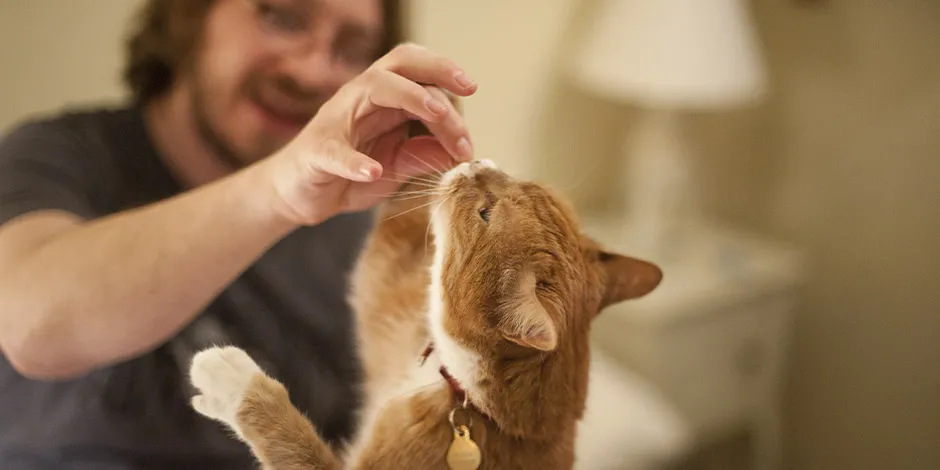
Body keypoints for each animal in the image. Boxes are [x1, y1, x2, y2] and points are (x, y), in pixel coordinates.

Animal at [189, 159, 660, 470]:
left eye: (485, 212)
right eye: (522, 182)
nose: (478, 163)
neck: (474, 404)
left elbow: (292, 440)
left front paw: (233, 382)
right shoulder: (391, 307)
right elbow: (393, 238)